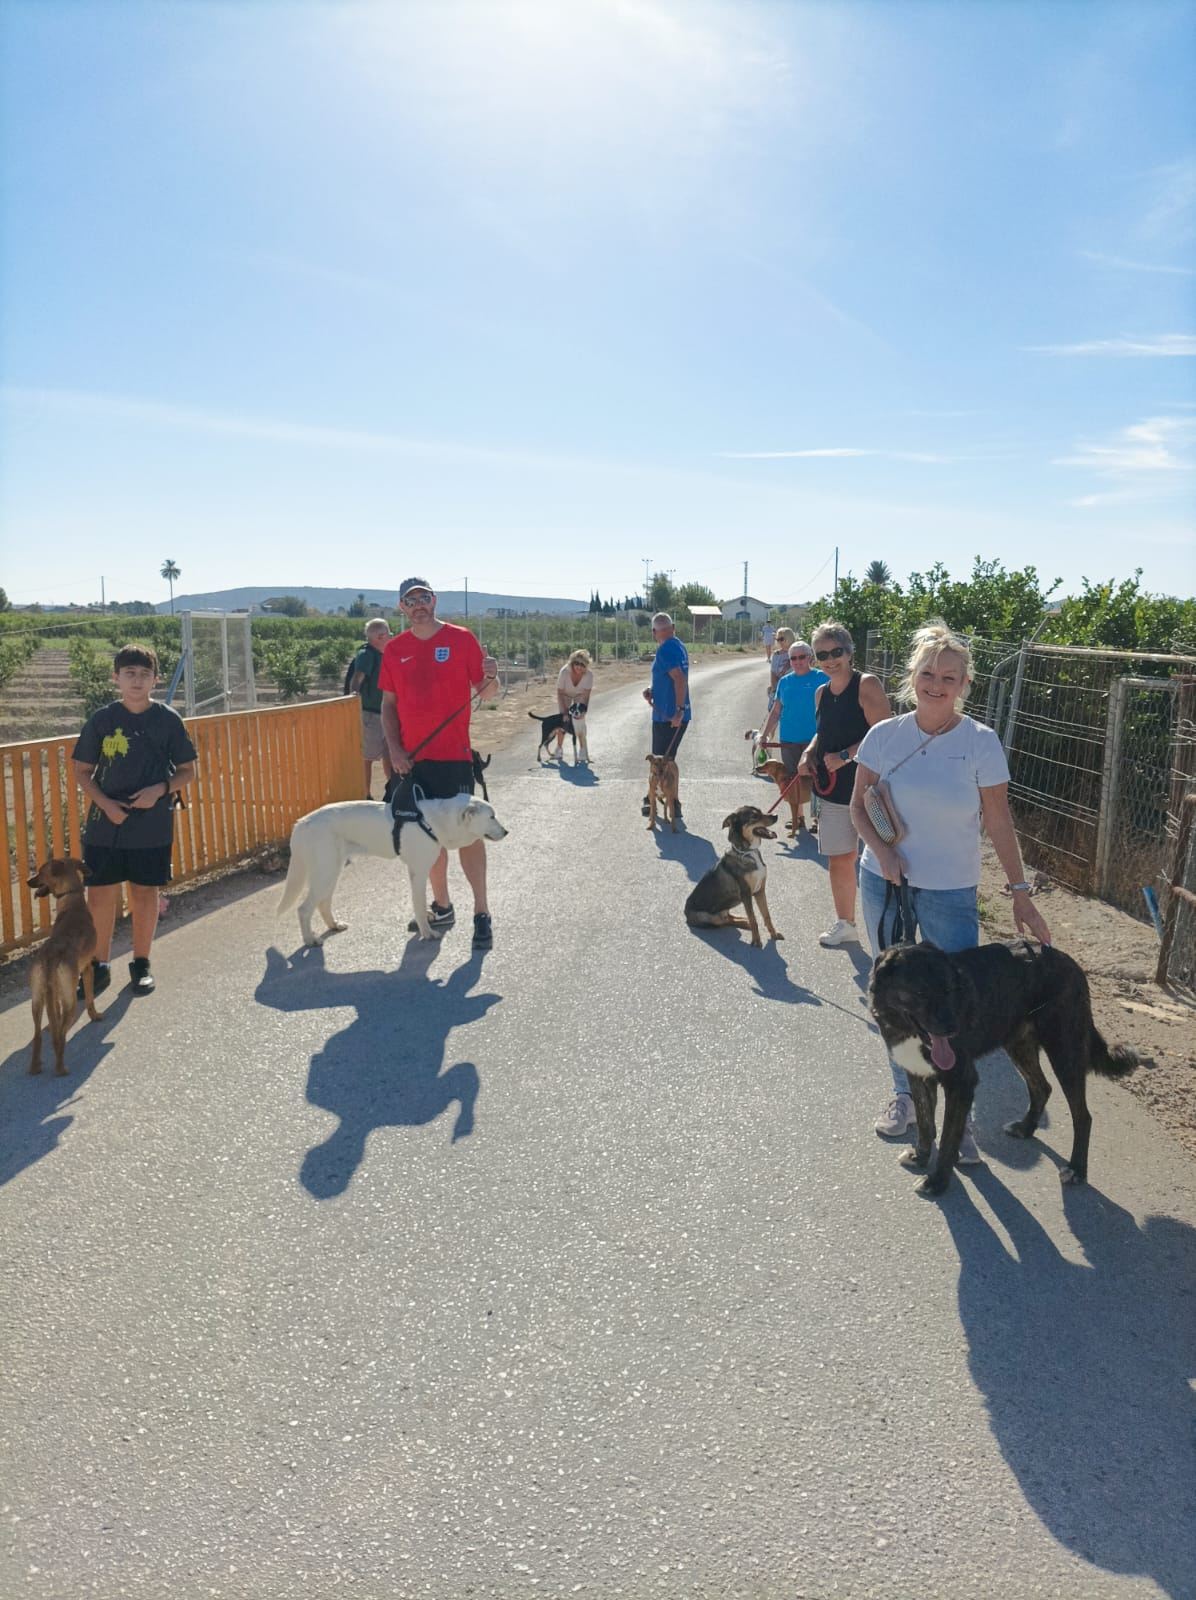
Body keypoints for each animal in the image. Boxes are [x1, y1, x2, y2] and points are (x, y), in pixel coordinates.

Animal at [27, 857, 103, 1075]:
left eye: (40, 872)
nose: (27, 882)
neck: (71, 899)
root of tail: (51, 956)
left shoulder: (56, 992)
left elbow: (55, 1013)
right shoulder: (87, 970)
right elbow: (90, 1000)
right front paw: (95, 1016)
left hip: (37, 1000)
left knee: (38, 1035)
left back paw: (35, 1067)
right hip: (70, 1002)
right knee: (60, 1036)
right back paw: (61, 1068)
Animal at [278, 795, 509, 946]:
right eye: (492, 817)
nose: (506, 831)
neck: (434, 821)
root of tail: (301, 822)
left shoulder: (418, 871)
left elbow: (420, 903)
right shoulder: (418, 871)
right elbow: (419, 904)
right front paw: (427, 932)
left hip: (331, 872)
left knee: (323, 903)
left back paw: (334, 925)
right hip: (325, 873)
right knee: (304, 909)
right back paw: (310, 939)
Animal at [684, 806, 783, 947]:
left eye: (760, 811)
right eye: (754, 816)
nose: (775, 815)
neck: (748, 852)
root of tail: (685, 915)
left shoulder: (760, 890)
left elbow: (766, 916)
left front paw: (774, 934)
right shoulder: (746, 893)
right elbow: (753, 919)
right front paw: (756, 941)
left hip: (725, 908)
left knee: (729, 917)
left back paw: (743, 921)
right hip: (709, 917)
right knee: (725, 921)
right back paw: (745, 922)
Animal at [869, 939, 1138, 1198]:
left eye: (949, 990)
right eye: (920, 992)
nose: (954, 1028)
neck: (906, 1029)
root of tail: (1070, 963)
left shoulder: (962, 1082)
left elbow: (947, 1140)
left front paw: (937, 1183)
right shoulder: (917, 1075)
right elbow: (926, 1124)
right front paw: (920, 1157)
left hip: (1064, 1052)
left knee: (1083, 1116)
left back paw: (1077, 1170)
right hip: (1019, 1045)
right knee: (1042, 1087)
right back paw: (1026, 1128)